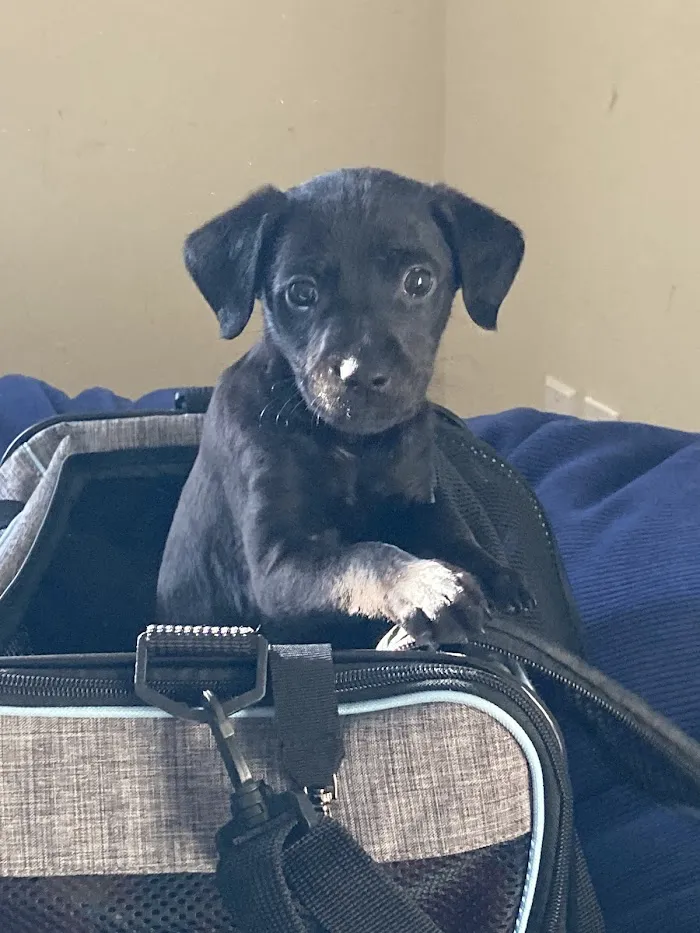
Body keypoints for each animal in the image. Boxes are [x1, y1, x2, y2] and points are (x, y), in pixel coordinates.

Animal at [157, 168, 533, 648]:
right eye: (301, 292)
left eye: (419, 281)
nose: (361, 373)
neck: (353, 446)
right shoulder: (279, 563)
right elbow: (364, 555)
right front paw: (426, 584)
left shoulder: (419, 499)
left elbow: (454, 531)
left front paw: (491, 570)